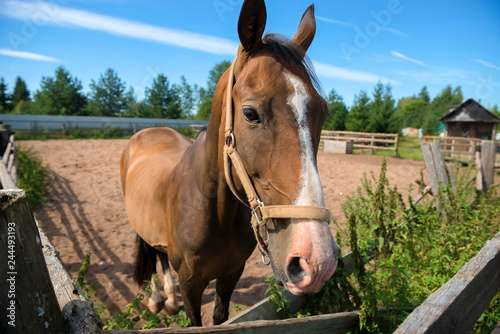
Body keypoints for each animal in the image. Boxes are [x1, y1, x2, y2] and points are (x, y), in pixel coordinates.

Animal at [120, 0, 338, 326]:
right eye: (250, 113)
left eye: (323, 112)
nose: (317, 261)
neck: (214, 212)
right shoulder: (190, 283)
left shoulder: (231, 274)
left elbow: (220, 317)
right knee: (150, 252)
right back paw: (158, 299)